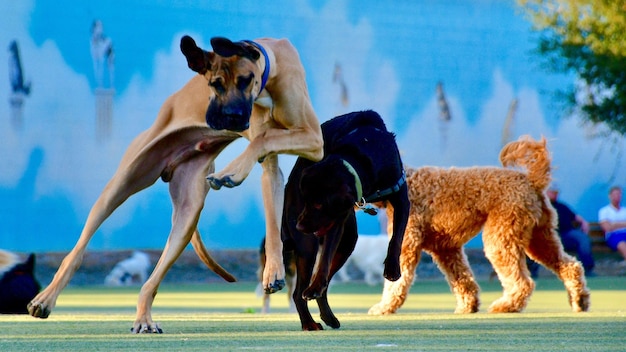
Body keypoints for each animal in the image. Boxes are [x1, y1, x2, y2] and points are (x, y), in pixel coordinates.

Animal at [280, 110, 408, 330]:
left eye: (318, 205)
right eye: (306, 200)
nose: (299, 225)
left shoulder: (402, 197)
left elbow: (397, 237)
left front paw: (392, 267)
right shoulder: (335, 218)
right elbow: (324, 260)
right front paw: (313, 287)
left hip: (347, 241)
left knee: (322, 285)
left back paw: (327, 316)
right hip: (309, 245)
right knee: (298, 292)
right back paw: (309, 322)